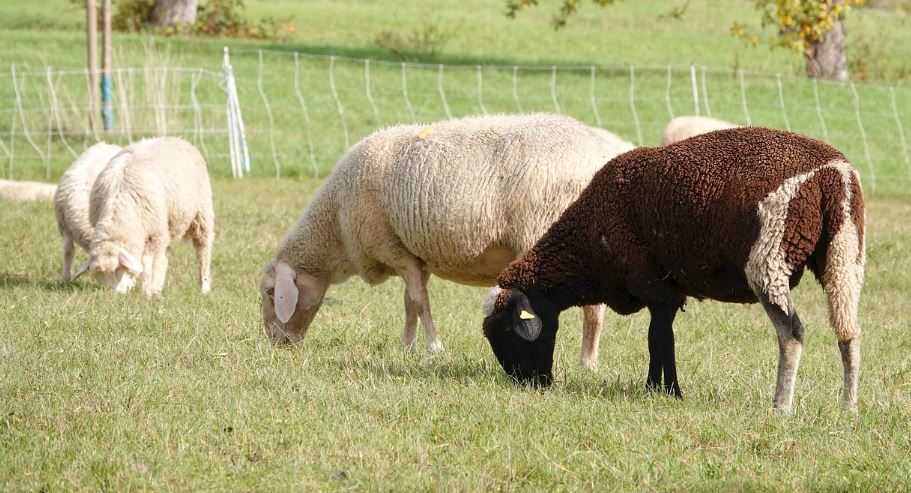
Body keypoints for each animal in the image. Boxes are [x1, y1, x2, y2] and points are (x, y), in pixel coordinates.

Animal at [85, 137, 214, 295]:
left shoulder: (154, 232)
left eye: (117, 271)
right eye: (100, 277)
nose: (116, 295)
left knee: (203, 249)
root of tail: (179, 139)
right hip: (167, 224)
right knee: (165, 253)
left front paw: (147, 291)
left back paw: (204, 287)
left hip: (201, 214)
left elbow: (147, 263)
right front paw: (146, 287)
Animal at [260, 113, 635, 367]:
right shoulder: (413, 255)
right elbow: (410, 304)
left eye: (270, 292)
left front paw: (433, 347)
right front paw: (407, 345)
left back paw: (583, 362)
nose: (275, 343)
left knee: (588, 308)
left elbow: (419, 302)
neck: (335, 223)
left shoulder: (395, 250)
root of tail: (606, 152)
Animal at [482, 127, 865, 413]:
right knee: (848, 331)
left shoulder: (652, 283)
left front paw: (659, 391)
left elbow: (657, 339)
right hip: (845, 254)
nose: (529, 385)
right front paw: (667, 390)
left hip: (769, 257)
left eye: (506, 331)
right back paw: (848, 407)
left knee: (792, 332)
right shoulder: (668, 290)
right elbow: (665, 338)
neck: (588, 241)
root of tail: (832, 172)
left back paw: (781, 405)